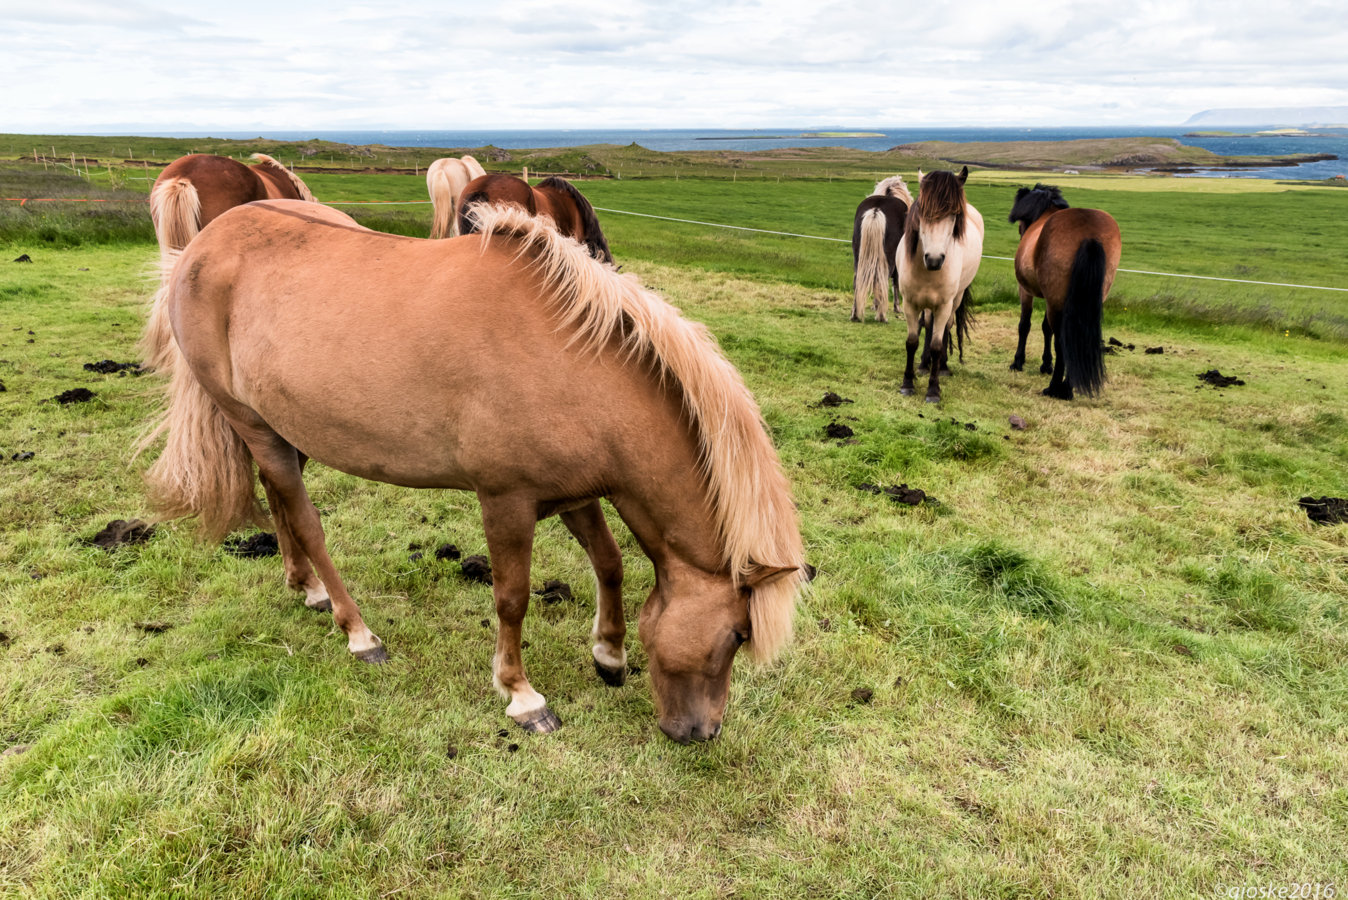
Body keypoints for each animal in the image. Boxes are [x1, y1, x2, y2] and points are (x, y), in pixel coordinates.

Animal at [846, 175, 911, 323]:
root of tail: (876, 210)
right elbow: (895, 282)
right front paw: (896, 307)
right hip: (889, 259)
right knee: (882, 279)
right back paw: (882, 316)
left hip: (859, 257)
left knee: (858, 281)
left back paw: (855, 314)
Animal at [900, 166, 986, 404]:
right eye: (922, 211)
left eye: (954, 215)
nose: (934, 259)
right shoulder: (909, 304)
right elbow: (912, 341)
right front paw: (908, 383)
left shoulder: (944, 305)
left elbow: (938, 344)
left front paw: (933, 390)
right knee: (928, 325)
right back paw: (924, 364)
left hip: (955, 300)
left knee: (946, 327)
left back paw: (943, 367)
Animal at [1008, 184, 1121, 398]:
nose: (1020, 232)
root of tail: (1088, 233)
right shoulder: (1049, 299)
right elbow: (1046, 328)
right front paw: (1046, 364)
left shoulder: (1026, 291)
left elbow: (1024, 325)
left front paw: (1018, 362)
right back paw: (1068, 385)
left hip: (1057, 303)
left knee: (1063, 341)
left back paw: (1056, 388)